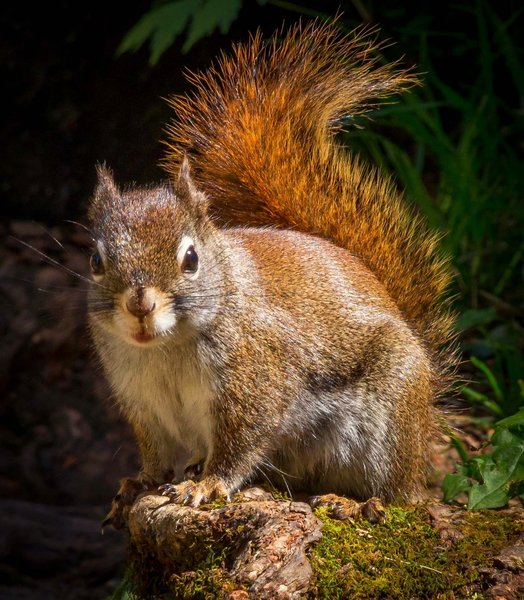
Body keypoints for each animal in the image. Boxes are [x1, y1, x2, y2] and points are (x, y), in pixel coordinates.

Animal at [87, 21, 454, 524]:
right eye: (96, 261)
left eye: (191, 259)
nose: (140, 305)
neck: (164, 350)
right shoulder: (143, 404)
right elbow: (156, 453)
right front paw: (141, 482)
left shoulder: (256, 380)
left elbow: (240, 445)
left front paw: (208, 486)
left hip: (388, 421)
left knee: (399, 495)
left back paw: (354, 503)